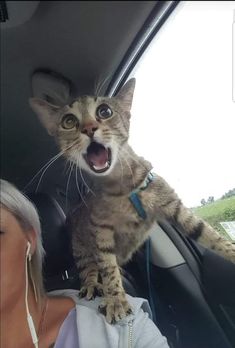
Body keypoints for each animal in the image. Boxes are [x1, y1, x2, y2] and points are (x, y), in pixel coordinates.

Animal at [29, 78, 235, 324]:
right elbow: (108, 268)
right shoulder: (101, 231)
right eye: (68, 121)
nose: (88, 128)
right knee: (89, 270)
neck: (123, 187)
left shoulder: (173, 205)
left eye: (105, 111)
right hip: (81, 250)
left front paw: (230, 251)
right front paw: (116, 299)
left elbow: (209, 234)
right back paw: (92, 284)